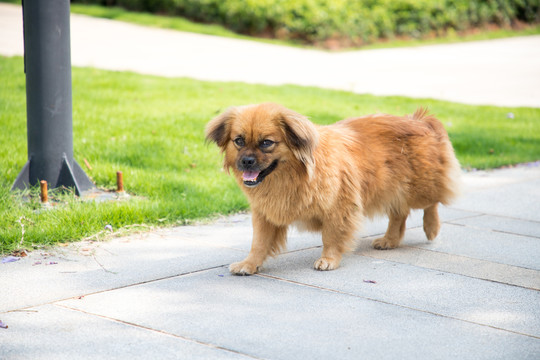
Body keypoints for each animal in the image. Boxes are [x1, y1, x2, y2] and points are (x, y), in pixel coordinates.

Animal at [206, 103, 460, 276]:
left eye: (267, 143)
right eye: (239, 141)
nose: (247, 161)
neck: (291, 177)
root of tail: (420, 121)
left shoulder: (338, 208)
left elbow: (331, 237)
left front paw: (329, 260)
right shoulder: (264, 215)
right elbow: (258, 243)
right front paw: (249, 264)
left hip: (417, 189)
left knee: (431, 203)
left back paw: (431, 228)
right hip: (390, 189)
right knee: (400, 214)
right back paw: (390, 240)